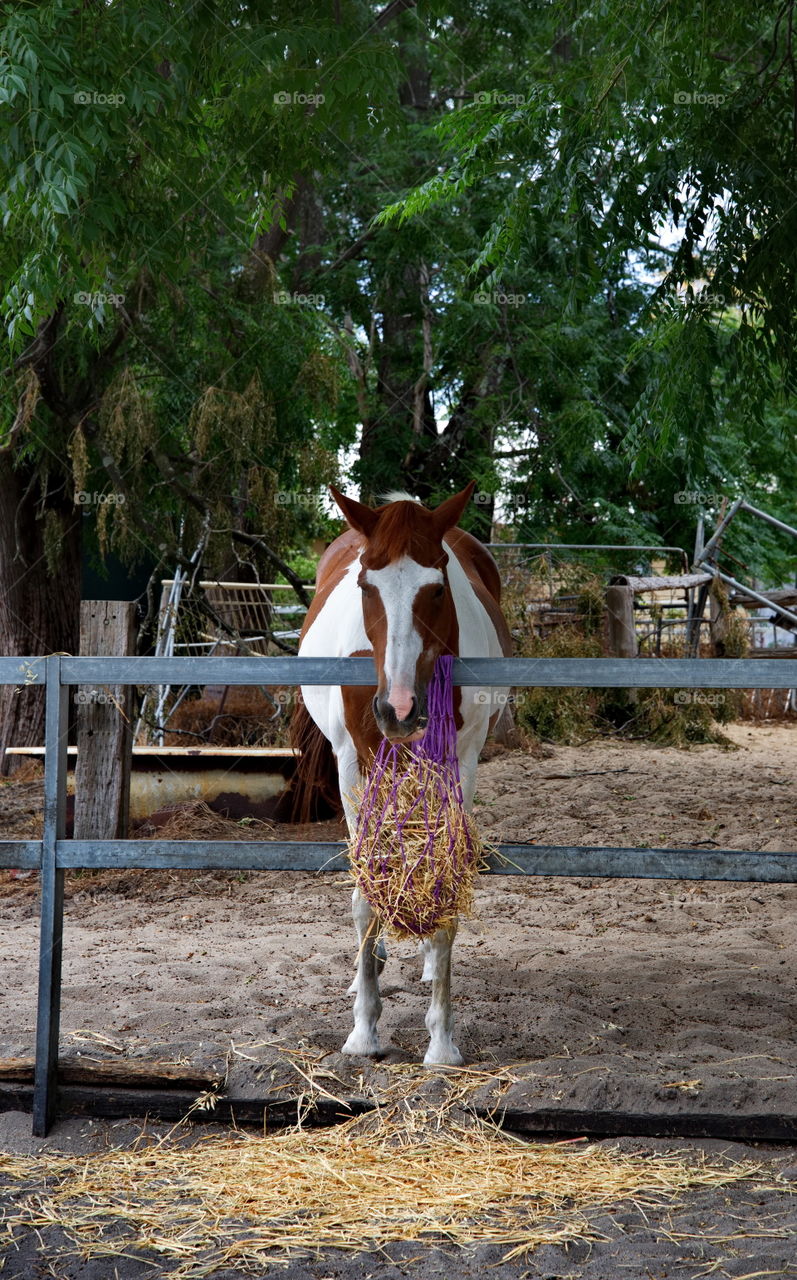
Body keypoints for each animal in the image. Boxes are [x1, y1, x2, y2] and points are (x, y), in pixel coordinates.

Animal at [294, 483, 511, 1064]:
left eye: (436, 588)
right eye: (366, 584)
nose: (399, 709)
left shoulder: (461, 763)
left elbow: (443, 879)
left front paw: (441, 1041)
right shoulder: (353, 765)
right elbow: (365, 895)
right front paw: (364, 1030)